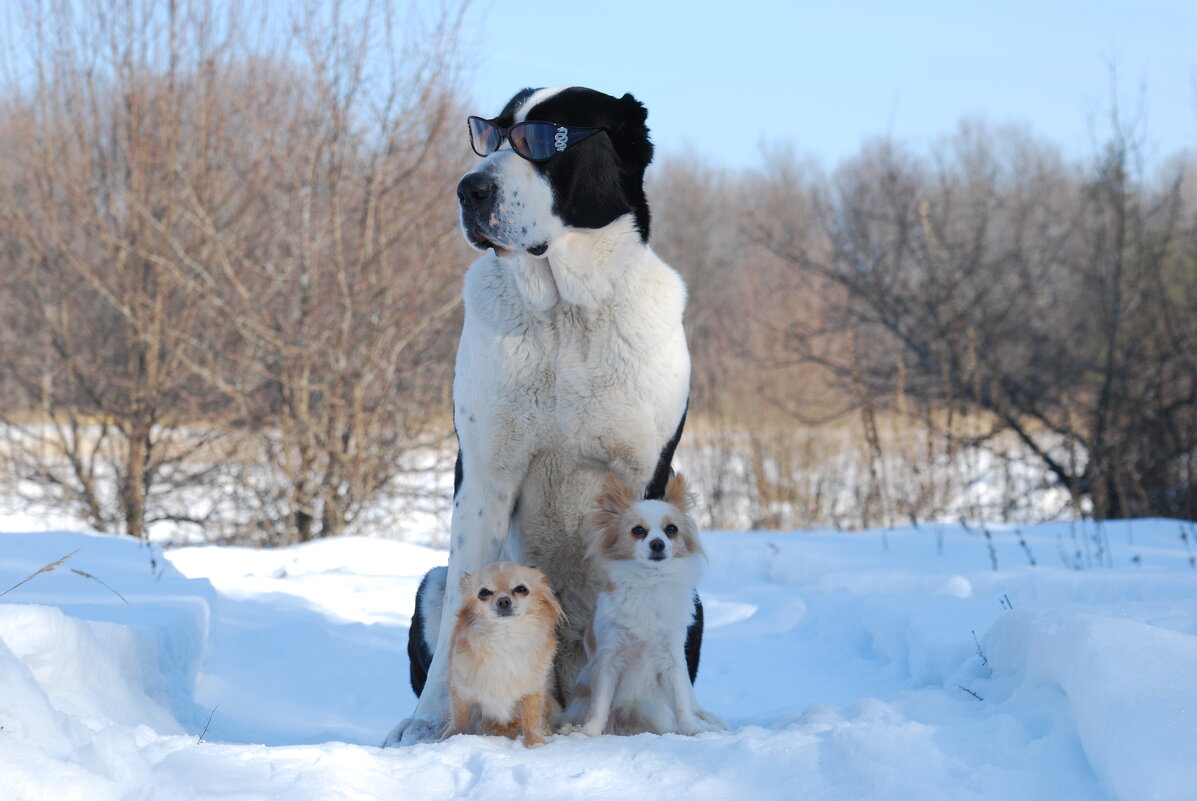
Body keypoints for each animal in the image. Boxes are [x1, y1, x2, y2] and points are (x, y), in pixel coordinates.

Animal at [385, 87, 694, 742]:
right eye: (489, 134)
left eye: (543, 138)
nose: (470, 189)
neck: (567, 314)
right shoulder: (484, 474)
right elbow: (457, 618)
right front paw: (429, 725)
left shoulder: (646, 474)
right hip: (431, 581)